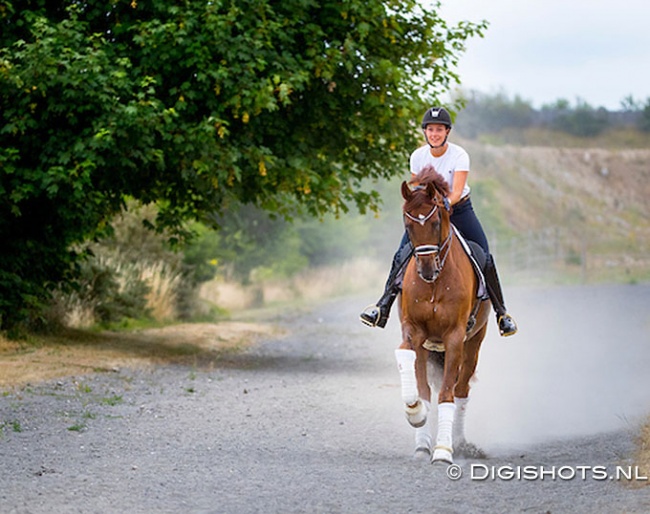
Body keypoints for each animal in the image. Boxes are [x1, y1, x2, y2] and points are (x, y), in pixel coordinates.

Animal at [392, 165, 488, 464]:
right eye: (408, 225)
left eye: (435, 222)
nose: (426, 270)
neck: (435, 283)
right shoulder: (414, 330)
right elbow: (410, 365)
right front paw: (415, 413)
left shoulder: (455, 337)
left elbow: (447, 395)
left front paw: (444, 450)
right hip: (429, 347)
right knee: (427, 386)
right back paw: (424, 443)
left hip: (474, 343)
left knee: (461, 391)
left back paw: (459, 443)